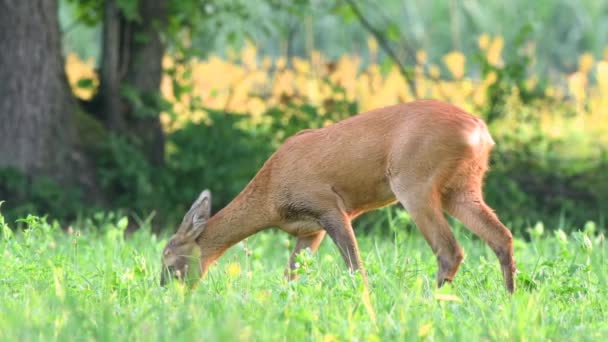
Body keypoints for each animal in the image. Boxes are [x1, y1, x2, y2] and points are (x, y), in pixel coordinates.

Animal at [162, 100, 516, 292]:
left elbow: (355, 266)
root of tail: (480, 130)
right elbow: (291, 274)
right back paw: (509, 298)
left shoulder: (328, 206)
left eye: (168, 260)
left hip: (415, 181)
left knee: (449, 250)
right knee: (502, 236)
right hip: (461, 186)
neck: (272, 198)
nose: (164, 290)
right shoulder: (309, 229)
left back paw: (429, 301)